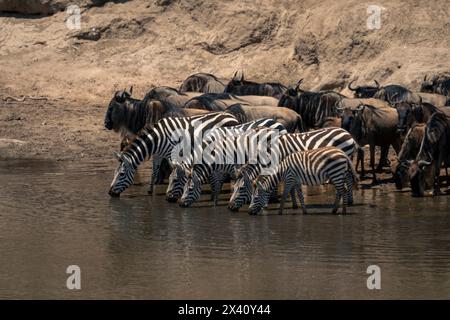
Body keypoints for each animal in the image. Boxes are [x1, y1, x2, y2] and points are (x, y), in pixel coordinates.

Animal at [108, 112, 239, 198]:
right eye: (114, 173)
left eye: (121, 174)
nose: (110, 193)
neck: (158, 140)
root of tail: (232, 116)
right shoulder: (158, 155)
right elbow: (154, 171)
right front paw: (150, 191)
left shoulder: (174, 153)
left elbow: (175, 170)